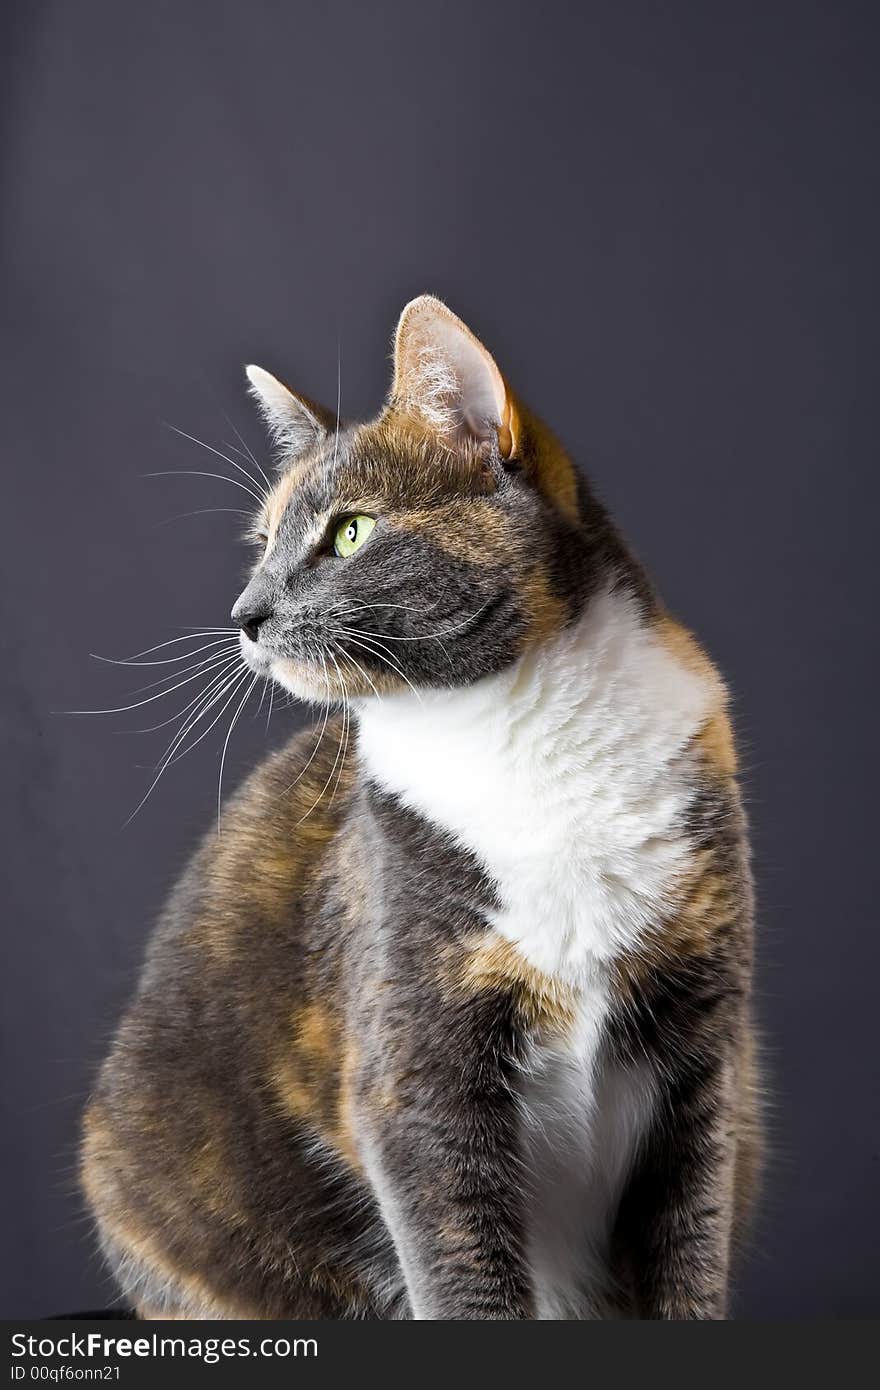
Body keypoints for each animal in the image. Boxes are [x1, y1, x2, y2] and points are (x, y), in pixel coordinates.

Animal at [78, 293, 756, 1312]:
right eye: (263, 542)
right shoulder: (414, 1073)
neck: (522, 734)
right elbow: (464, 1273)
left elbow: (690, 1252)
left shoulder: (703, 1062)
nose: (245, 613)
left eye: (351, 532)